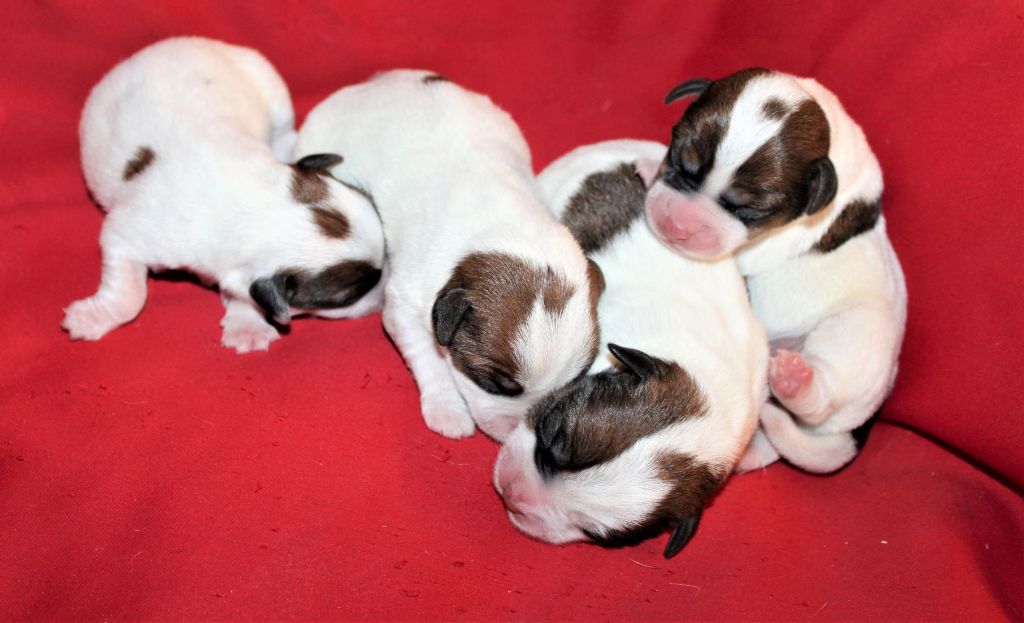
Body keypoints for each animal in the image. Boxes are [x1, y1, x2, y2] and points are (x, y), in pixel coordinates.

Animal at [64, 36, 385, 352]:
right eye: (350, 295)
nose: (384, 296)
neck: (256, 203)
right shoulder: (124, 236)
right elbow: (130, 294)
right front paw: (89, 320)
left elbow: (243, 296)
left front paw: (248, 327)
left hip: (271, 89)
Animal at [292, 70, 602, 440]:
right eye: (493, 383)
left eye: (567, 386)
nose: (514, 435)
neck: (507, 225)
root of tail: (372, 83)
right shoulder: (405, 306)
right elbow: (429, 357)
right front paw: (447, 409)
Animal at [643, 68, 909, 471]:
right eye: (680, 161)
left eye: (749, 210)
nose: (676, 227)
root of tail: (860, 426)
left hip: (856, 335)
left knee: (823, 398)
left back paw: (795, 381)